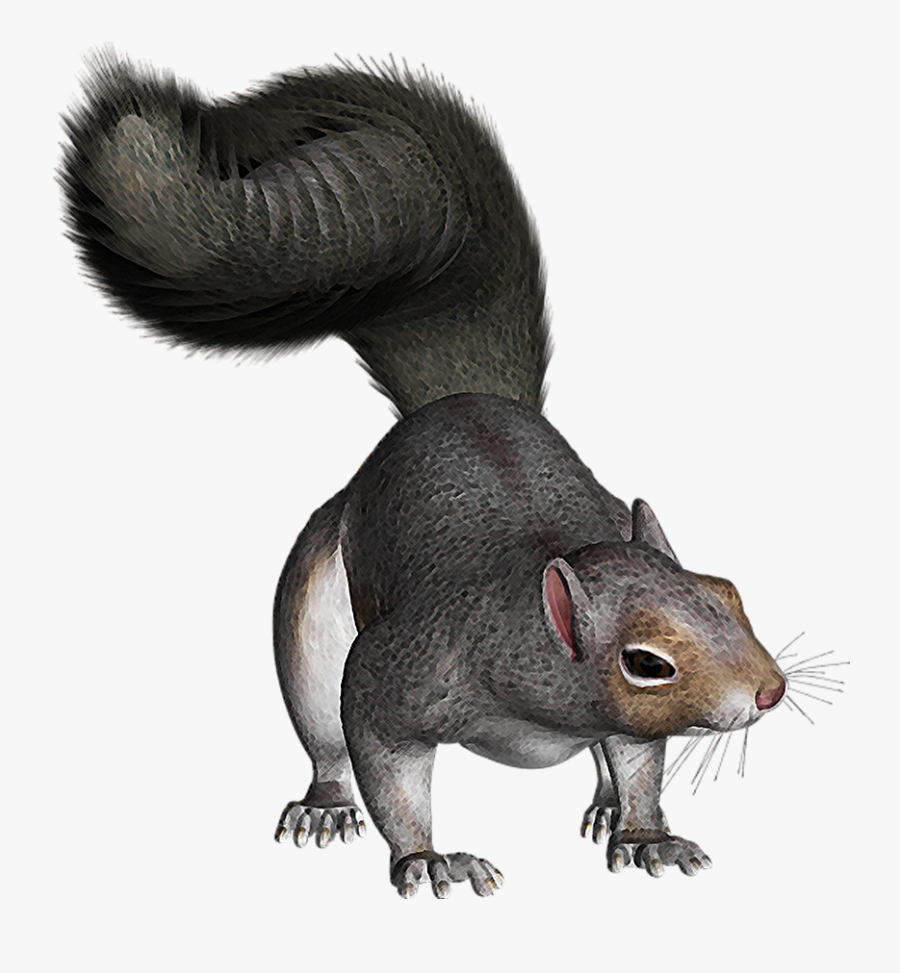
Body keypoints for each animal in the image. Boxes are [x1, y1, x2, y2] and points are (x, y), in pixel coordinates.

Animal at [61, 53, 787, 898]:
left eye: (728, 593)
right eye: (646, 663)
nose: (771, 689)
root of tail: (455, 400)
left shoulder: (622, 726)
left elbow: (639, 760)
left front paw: (646, 834)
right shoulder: (402, 674)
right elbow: (388, 765)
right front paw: (429, 858)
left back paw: (605, 802)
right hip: (312, 614)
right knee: (324, 729)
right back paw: (324, 804)